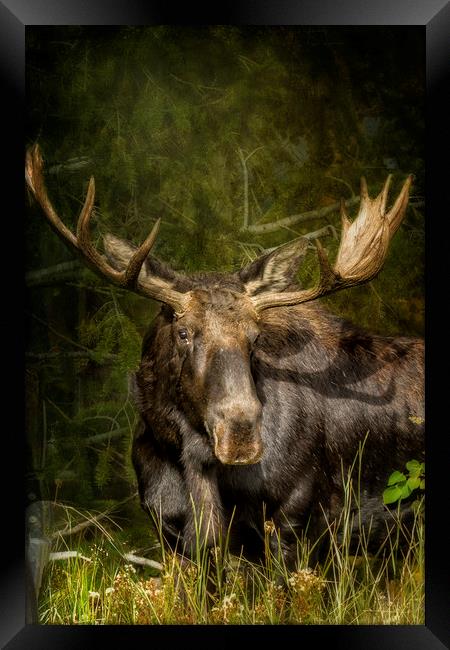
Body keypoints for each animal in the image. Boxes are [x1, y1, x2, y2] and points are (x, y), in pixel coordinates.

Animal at [26, 143, 424, 568]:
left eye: (255, 338)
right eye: (183, 332)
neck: (191, 462)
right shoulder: (171, 533)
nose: (240, 434)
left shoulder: (298, 521)